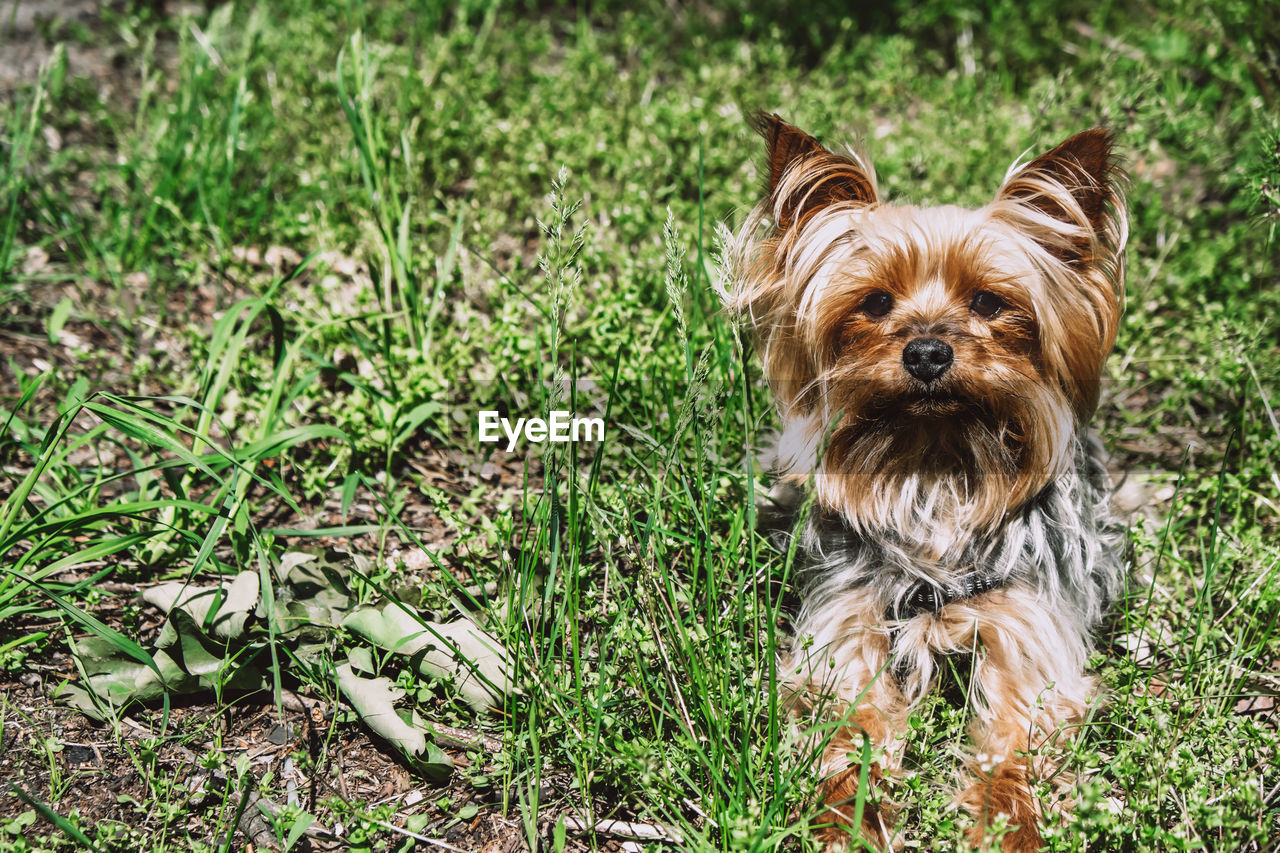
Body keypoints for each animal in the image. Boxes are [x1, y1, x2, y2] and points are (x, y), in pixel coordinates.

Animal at [727, 114, 1126, 850]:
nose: (928, 351)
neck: (936, 466)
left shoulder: (1024, 627)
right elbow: (850, 728)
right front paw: (848, 821)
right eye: (875, 302)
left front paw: (1007, 828)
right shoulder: (848, 623)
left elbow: (1014, 739)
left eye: (990, 302)